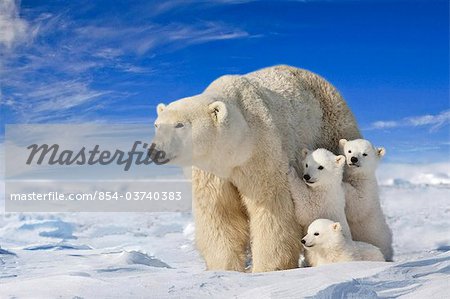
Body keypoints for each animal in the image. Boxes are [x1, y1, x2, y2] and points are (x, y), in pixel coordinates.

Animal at [155, 65, 362, 274]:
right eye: (157, 125)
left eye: (179, 125)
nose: (155, 150)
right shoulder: (211, 173)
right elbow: (220, 213)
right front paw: (224, 268)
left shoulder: (260, 152)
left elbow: (270, 208)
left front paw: (266, 268)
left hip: (331, 129)